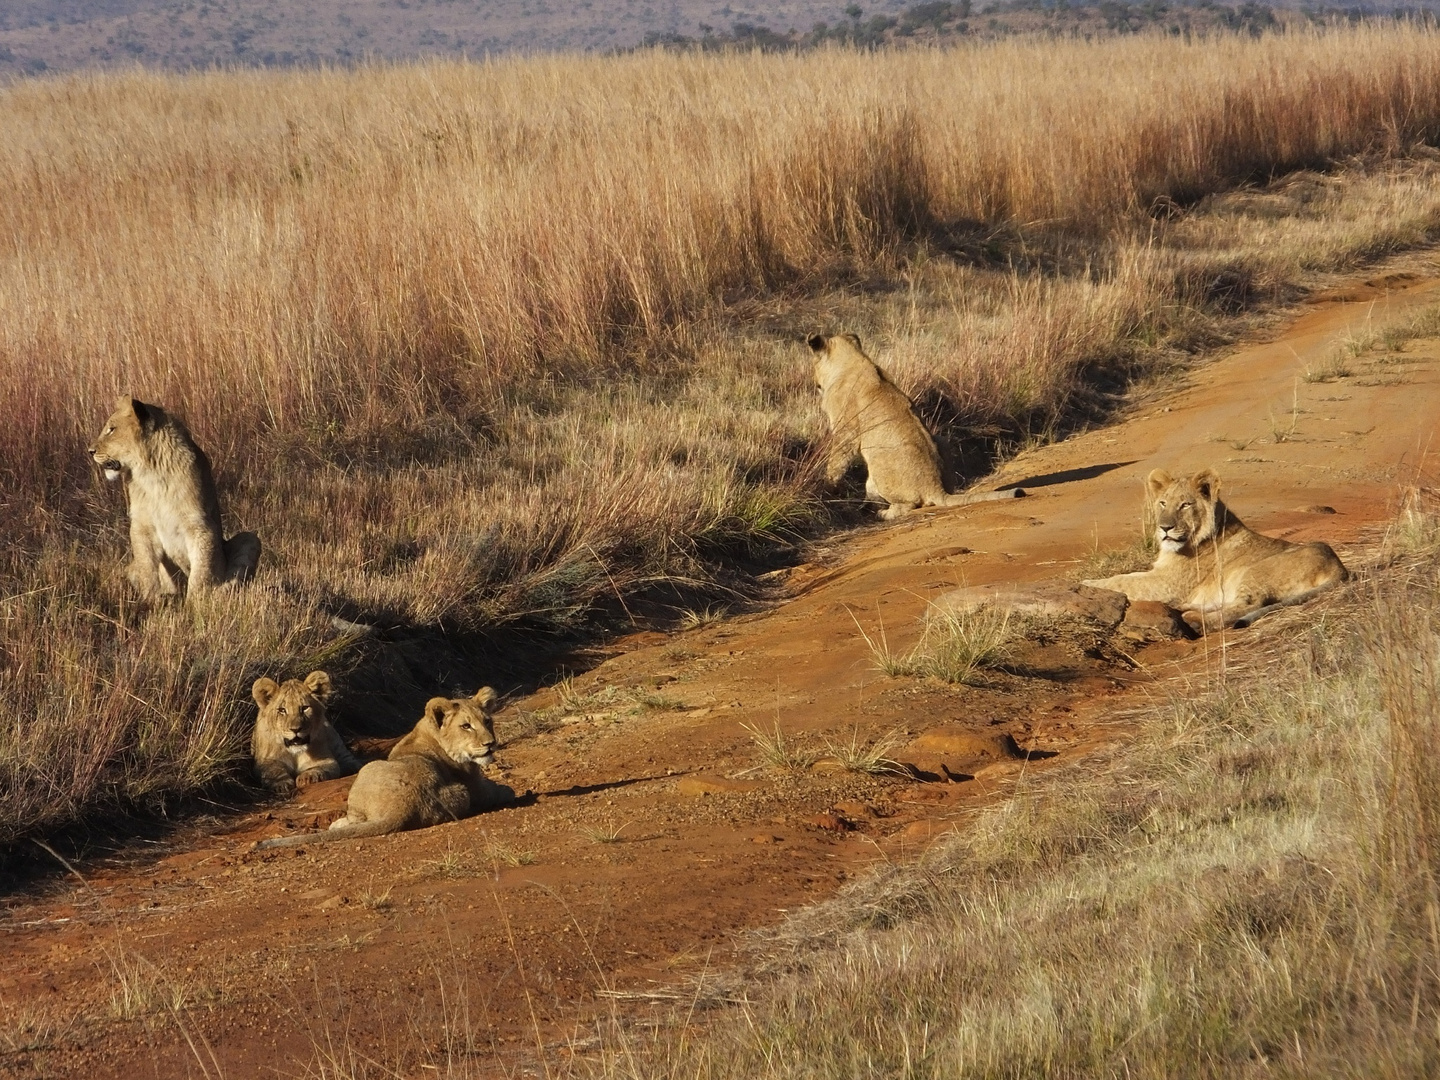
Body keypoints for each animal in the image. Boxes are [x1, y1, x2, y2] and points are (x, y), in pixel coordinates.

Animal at [89, 394, 262, 601]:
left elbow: (201, 571)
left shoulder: (200, 525)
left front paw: (195, 602)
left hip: (250, 538)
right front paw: (150, 600)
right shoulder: (142, 526)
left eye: (111, 429)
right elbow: (147, 567)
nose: (90, 451)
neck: (150, 474)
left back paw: (218, 592)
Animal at [256, 688, 515, 852]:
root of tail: (400, 809)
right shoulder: (477, 789)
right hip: (458, 791)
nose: (490, 743)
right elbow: (505, 791)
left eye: (487, 721)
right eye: (466, 726)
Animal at [812, 338, 1025, 524]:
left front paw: (828, 486)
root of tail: (936, 487)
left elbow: (837, 461)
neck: (854, 359)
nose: (816, 385)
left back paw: (882, 513)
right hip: (941, 440)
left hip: (879, 462)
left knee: (908, 505)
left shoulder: (845, 431)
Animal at [1082, 466, 1347, 633]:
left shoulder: (1167, 583)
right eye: (1163, 503)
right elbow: (1126, 577)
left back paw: (1195, 622)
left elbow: (1122, 580)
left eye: (1185, 505)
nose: (1164, 528)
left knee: (1247, 606)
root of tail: (1339, 566)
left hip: (1254, 572)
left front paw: (1086, 583)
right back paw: (1186, 610)